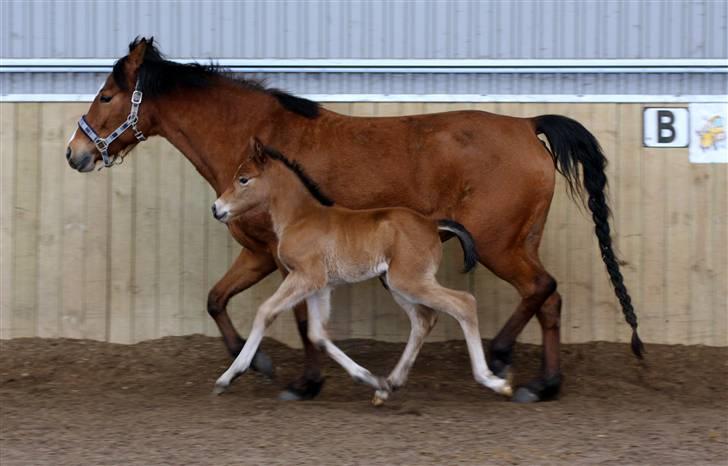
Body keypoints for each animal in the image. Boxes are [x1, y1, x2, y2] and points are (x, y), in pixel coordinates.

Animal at [210, 139, 512, 404]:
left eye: (243, 179)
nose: (216, 208)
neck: (300, 218)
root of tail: (432, 224)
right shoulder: (321, 286)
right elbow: (318, 335)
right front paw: (369, 378)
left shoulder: (305, 277)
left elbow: (265, 312)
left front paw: (227, 377)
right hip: (397, 284)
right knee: (423, 320)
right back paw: (387, 387)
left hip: (410, 281)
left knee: (464, 303)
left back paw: (494, 381)